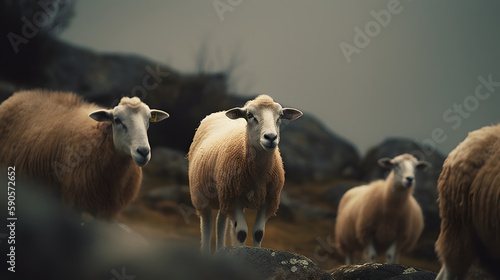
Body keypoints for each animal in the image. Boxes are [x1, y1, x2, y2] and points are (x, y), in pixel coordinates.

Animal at [0, 89, 170, 221]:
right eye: (117, 120)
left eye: (148, 120)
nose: (143, 151)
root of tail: (18, 95)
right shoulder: (75, 204)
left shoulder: (109, 213)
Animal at [188, 94, 302, 254]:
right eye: (249, 115)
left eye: (280, 116)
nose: (271, 137)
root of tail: (219, 112)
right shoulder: (234, 198)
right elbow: (241, 232)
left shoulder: (268, 200)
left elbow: (258, 233)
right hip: (202, 195)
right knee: (207, 223)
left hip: (223, 194)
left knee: (220, 222)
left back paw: (220, 249)